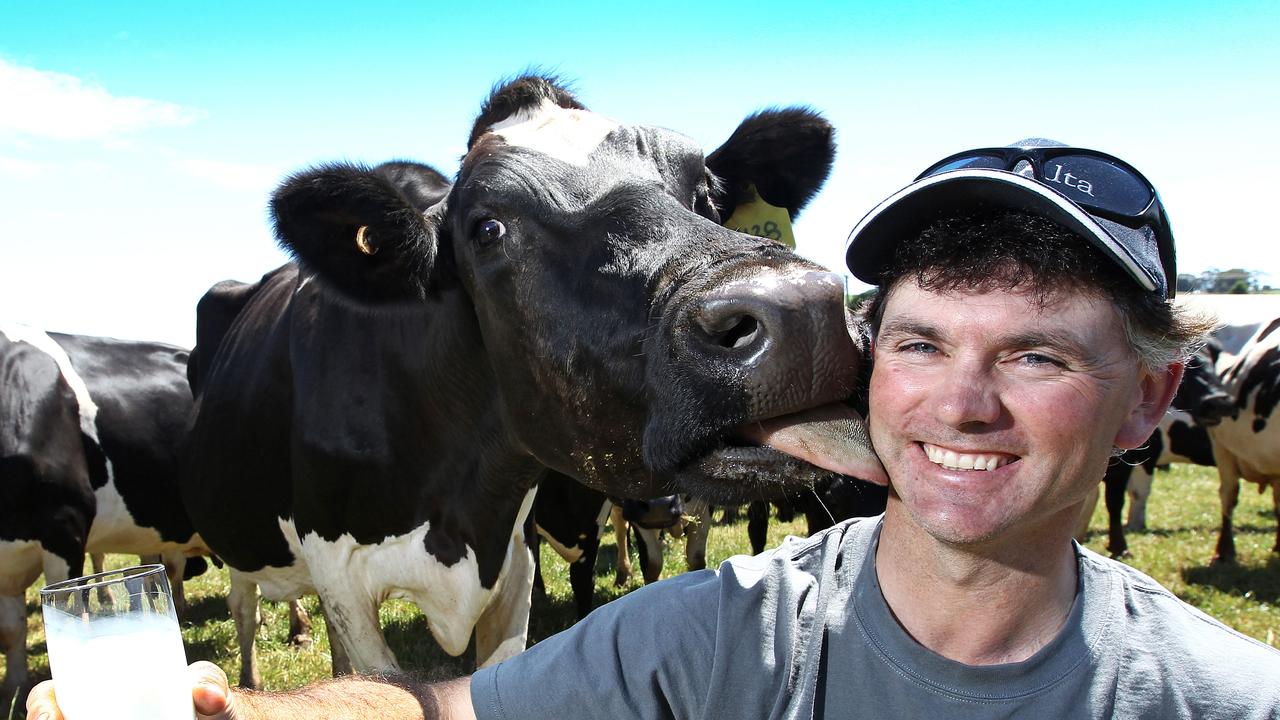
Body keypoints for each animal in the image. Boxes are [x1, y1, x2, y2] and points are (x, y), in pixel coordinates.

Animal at [180, 73, 885, 681]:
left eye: (709, 194)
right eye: (487, 228)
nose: (799, 313)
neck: (460, 509)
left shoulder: (513, 563)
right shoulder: (342, 576)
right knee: (246, 611)